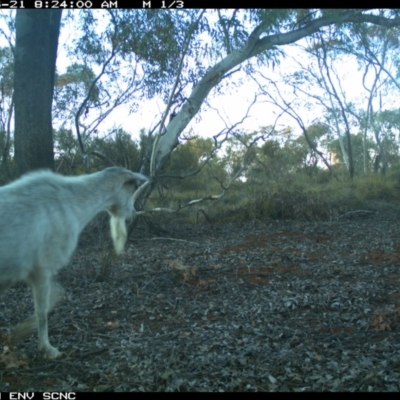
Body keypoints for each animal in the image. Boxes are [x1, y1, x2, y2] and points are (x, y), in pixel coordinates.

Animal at [0, 166, 148, 360]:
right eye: (133, 189)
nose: (133, 216)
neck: (76, 207)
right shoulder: (42, 267)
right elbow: (43, 309)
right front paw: (47, 348)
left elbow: (55, 296)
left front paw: (19, 333)